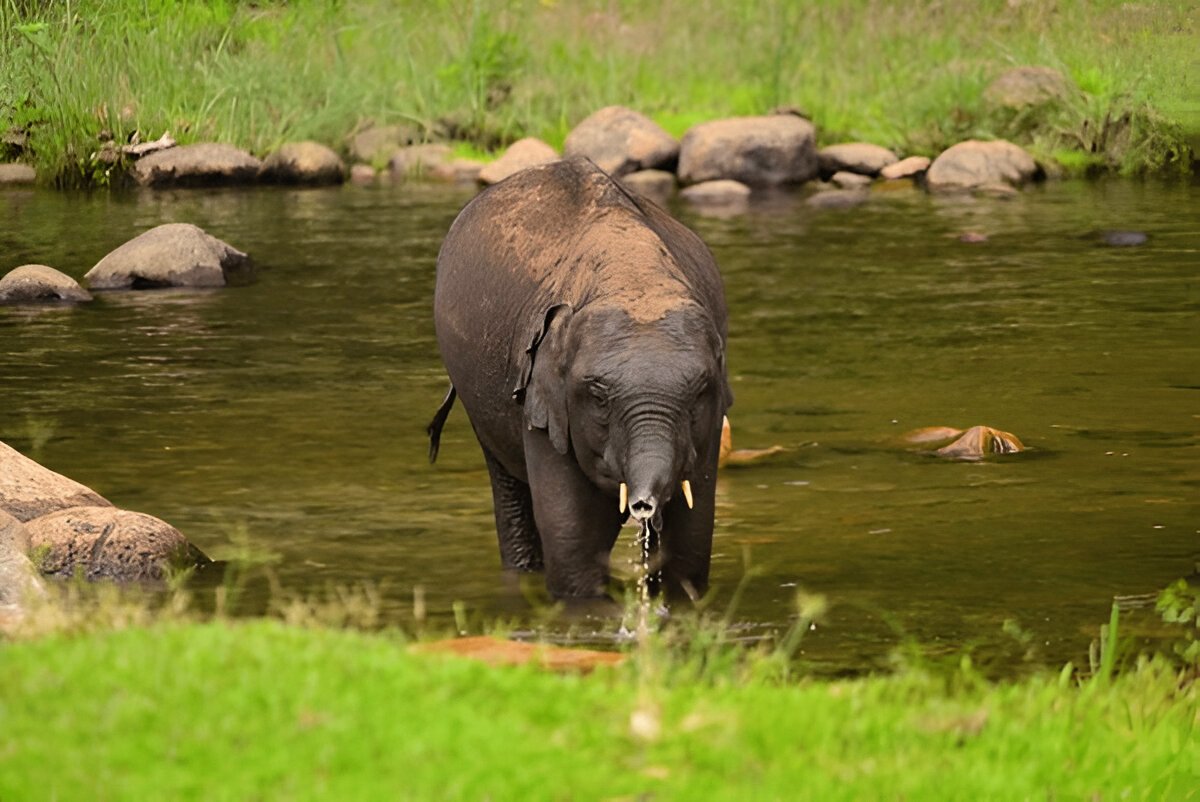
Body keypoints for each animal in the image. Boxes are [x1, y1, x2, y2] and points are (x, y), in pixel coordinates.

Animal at [432, 156, 729, 597]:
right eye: (599, 396)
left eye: (698, 394)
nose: (644, 507)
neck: (635, 277)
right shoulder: (541, 394)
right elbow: (574, 541)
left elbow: (692, 543)